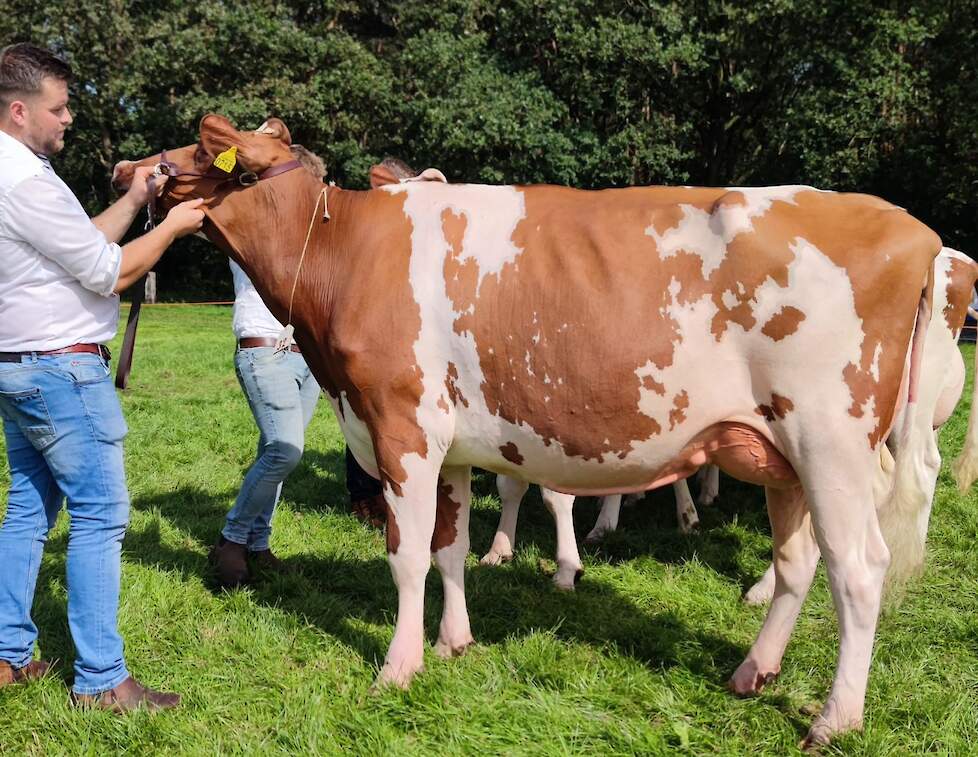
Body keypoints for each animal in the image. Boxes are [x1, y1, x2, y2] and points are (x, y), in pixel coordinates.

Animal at [114, 115, 936, 748]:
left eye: (200, 146)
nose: (126, 165)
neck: (343, 256)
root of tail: (912, 230)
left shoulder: (402, 427)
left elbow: (405, 556)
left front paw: (398, 666)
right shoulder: (448, 445)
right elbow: (448, 549)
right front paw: (454, 641)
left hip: (832, 444)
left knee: (858, 569)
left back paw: (835, 717)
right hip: (779, 456)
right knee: (797, 564)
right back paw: (751, 671)